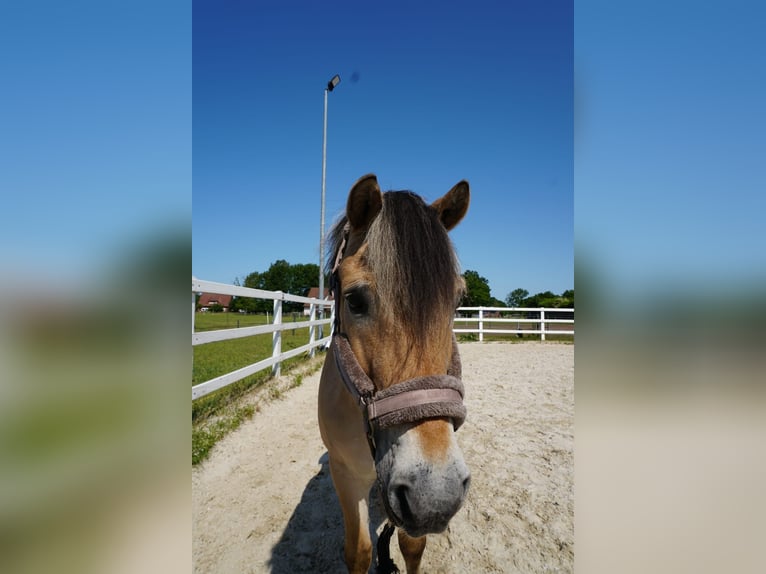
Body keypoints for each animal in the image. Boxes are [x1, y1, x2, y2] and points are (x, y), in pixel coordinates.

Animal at [318, 176, 474, 574]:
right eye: (354, 300)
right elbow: (358, 551)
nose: (435, 495)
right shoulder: (346, 474)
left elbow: (411, 544)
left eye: (457, 300)